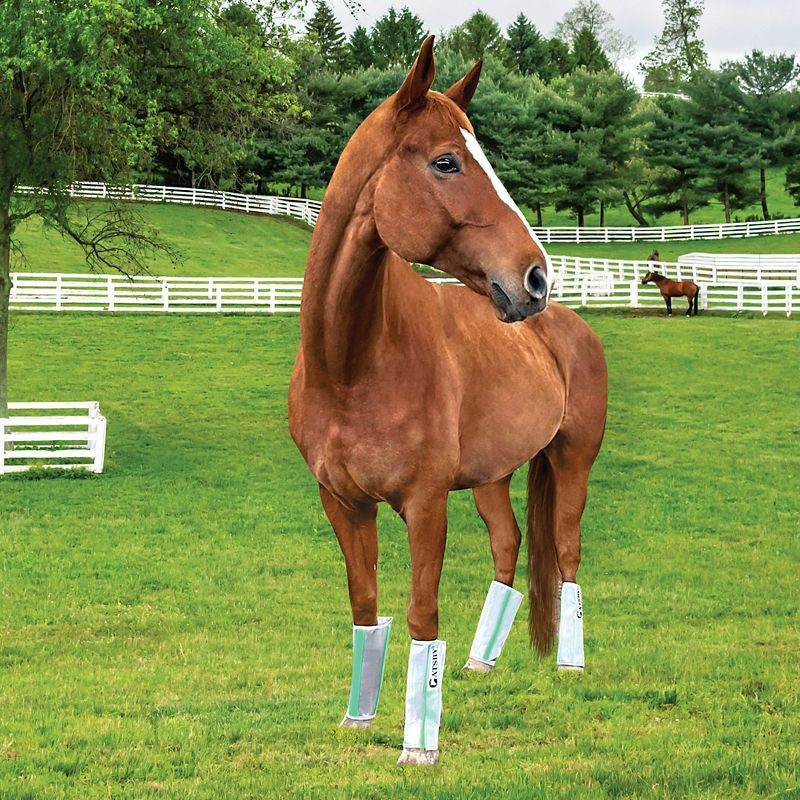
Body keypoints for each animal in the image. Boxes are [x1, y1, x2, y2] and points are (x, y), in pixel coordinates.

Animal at [288, 36, 608, 766]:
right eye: (445, 161)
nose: (534, 278)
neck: (351, 366)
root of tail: (569, 326)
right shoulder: (342, 502)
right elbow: (365, 606)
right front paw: (358, 719)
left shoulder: (424, 503)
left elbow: (419, 612)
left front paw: (419, 748)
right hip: (492, 476)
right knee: (510, 546)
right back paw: (480, 661)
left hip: (572, 465)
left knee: (566, 552)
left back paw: (571, 665)